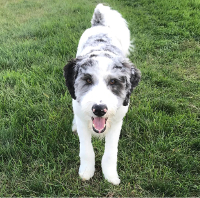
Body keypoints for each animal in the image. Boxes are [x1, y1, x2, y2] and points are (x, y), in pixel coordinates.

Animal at [63, 3, 141, 186]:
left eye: (113, 82)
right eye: (87, 80)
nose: (99, 109)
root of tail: (99, 24)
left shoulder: (117, 122)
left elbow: (111, 153)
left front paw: (110, 174)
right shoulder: (83, 121)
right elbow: (86, 150)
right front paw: (86, 171)